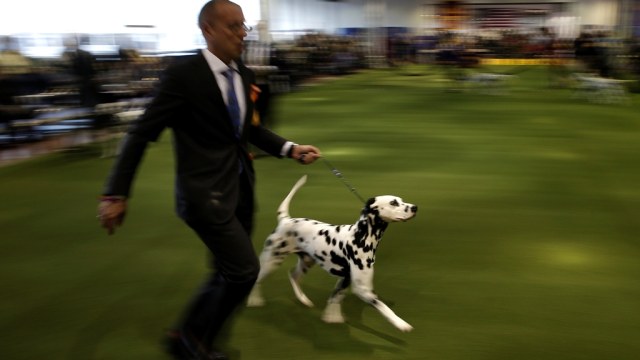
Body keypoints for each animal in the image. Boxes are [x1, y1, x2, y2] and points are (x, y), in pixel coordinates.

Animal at [248, 175, 418, 332]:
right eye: (393, 203)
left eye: (401, 200)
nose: (415, 207)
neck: (360, 237)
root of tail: (285, 220)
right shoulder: (363, 289)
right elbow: (383, 307)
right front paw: (400, 323)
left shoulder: (345, 279)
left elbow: (335, 298)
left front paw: (332, 317)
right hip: (271, 261)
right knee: (257, 280)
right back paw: (254, 300)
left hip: (306, 262)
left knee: (293, 275)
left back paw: (304, 300)